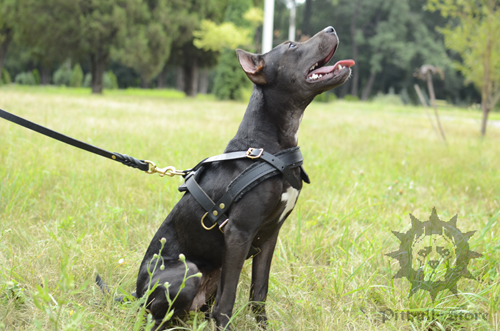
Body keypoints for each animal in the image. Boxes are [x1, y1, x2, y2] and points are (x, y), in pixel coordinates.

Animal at [133, 27, 352, 330]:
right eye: (291, 45)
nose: (331, 29)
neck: (268, 148)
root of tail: (135, 294)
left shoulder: (270, 235)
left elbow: (259, 291)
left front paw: (262, 325)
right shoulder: (238, 232)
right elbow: (229, 300)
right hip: (187, 272)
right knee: (159, 317)